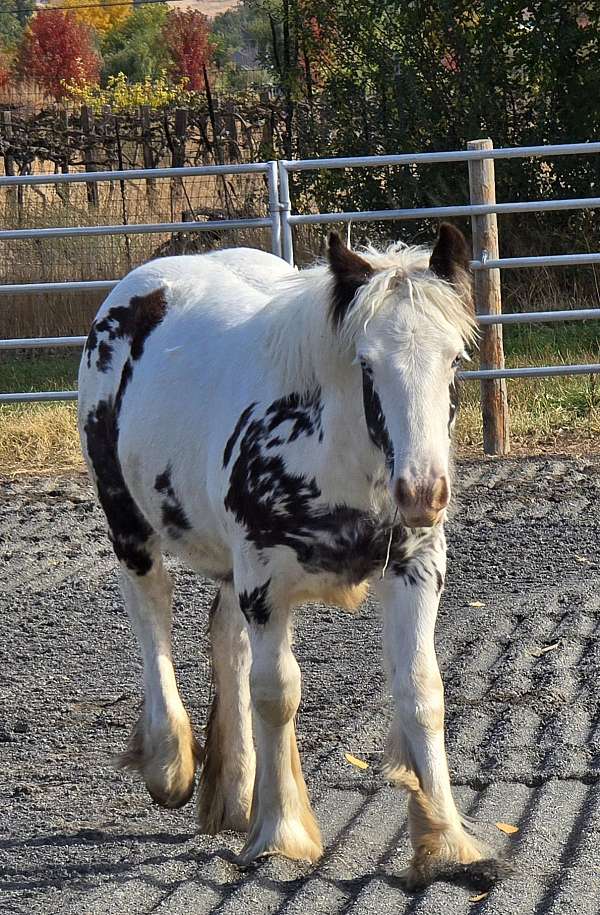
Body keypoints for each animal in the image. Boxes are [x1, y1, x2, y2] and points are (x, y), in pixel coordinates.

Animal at [77, 225, 504, 892]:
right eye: (366, 364)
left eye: (456, 360)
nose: (423, 493)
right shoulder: (265, 584)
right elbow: (276, 694)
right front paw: (281, 836)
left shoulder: (414, 570)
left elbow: (422, 692)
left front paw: (449, 844)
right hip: (131, 525)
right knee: (153, 617)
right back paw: (171, 765)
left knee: (224, 640)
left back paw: (235, 795)